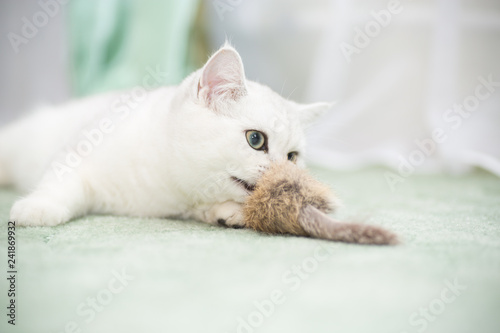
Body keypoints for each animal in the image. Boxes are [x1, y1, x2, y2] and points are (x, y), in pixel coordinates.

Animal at [0, 44, 330, 227]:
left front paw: (228, 212)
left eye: (292, 157)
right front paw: (38, 208)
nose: (283, 173)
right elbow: (61, 181)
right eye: (256, 140)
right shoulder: (77, 149)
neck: (168, 188)